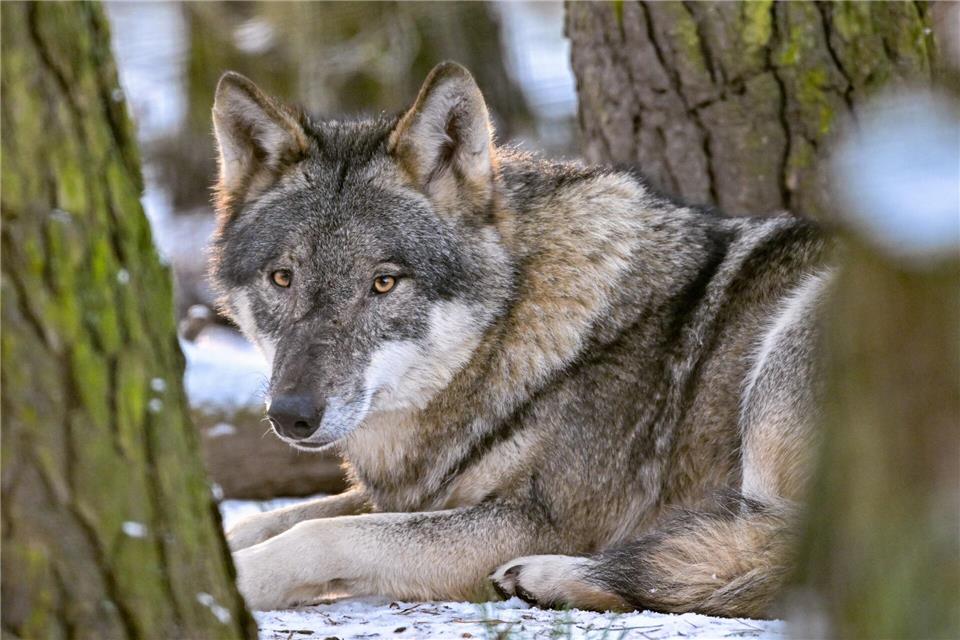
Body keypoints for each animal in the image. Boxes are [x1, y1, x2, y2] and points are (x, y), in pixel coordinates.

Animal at [210, 61, 830, 617]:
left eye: (383, 282)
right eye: (282, 278)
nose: (290, 414)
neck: (510, 333)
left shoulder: (537, 520)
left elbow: (321, 534)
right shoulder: (428, 492)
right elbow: (267, 519)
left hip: (790, 345)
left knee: (774, 555)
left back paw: (551, 577)